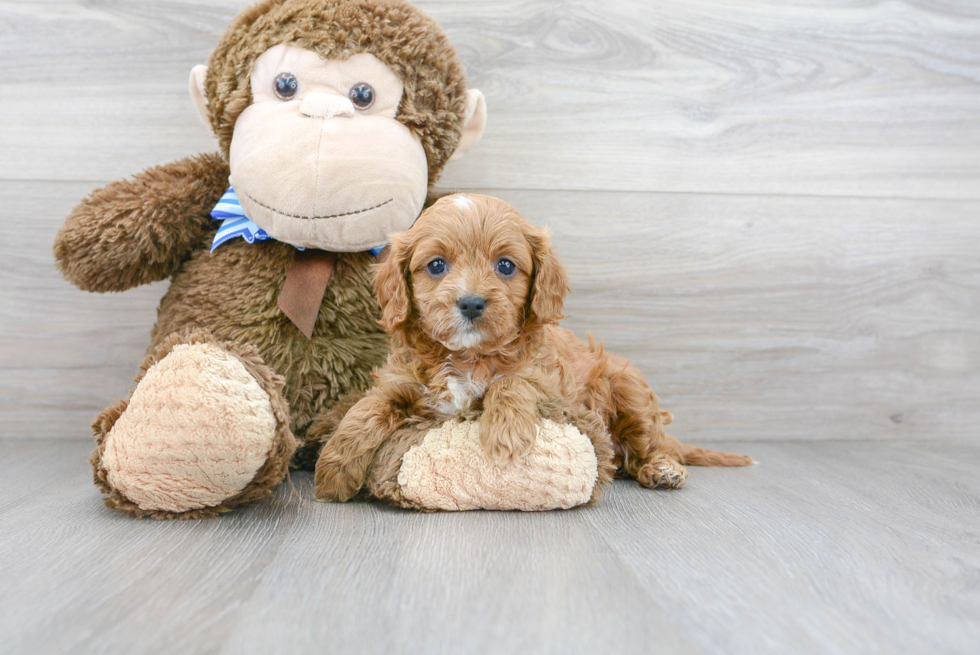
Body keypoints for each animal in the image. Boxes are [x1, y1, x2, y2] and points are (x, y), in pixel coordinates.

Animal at [314, 195, 752, 502]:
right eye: (436, 265)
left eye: (506, 266)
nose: (471, 303)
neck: (467, 357)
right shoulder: (401, 381)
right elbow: (366, 409)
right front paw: (334, 468)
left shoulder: (551, 385)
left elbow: (510, 382)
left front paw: (505, 432)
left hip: (629, 388)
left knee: (654, 444)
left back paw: (663, 469)